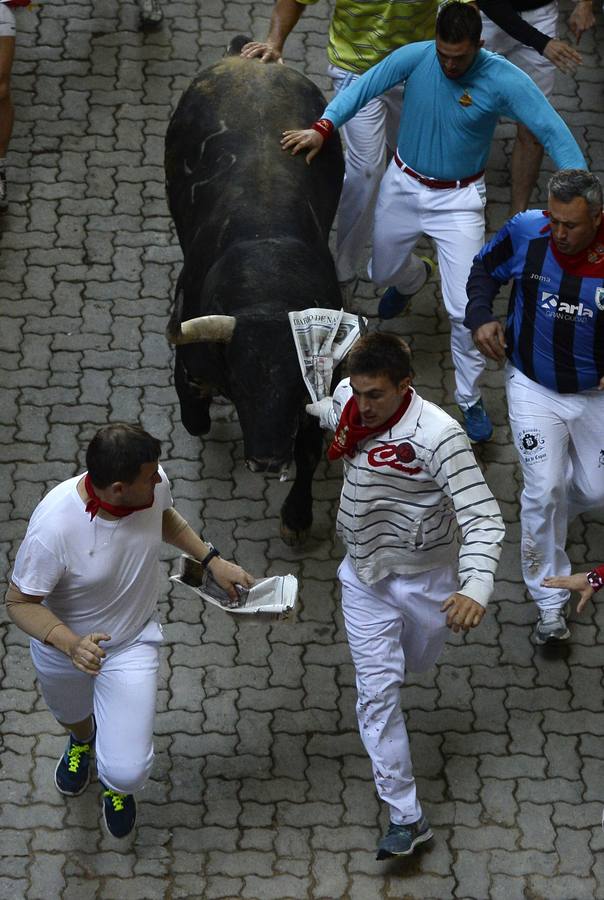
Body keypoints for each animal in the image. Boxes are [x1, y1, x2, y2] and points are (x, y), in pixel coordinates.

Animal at [164, 38, 344, 544]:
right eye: (242, 384)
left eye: (294, 387)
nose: (265, 461)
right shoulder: (192, 364)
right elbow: (195, 414)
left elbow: (308, 450)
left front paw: (297, 516)